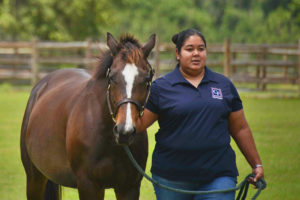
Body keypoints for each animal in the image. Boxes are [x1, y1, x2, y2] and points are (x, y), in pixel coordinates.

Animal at [19, 32, 156, 199]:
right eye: (112, 77)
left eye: (146, 80)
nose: (125, 131)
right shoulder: (89, 185)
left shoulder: (129, 187)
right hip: (34, 178)